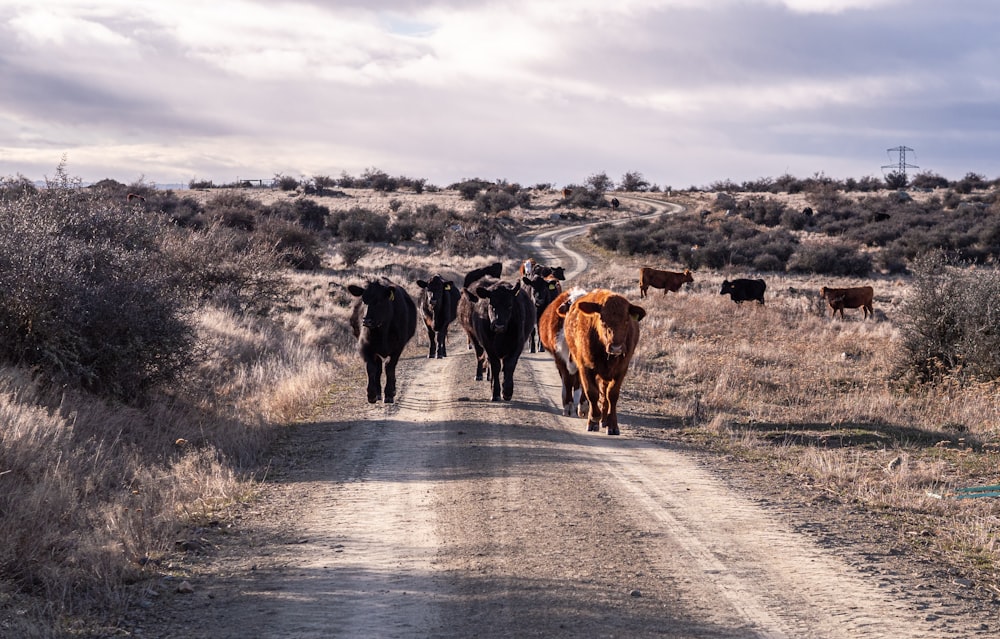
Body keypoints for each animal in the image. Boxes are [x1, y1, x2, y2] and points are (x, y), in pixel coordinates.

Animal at [560, 290, 644, 436]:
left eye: (626, 320)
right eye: (602, 319)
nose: (616, 348)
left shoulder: (621, 370)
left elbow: (612, 395)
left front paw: (613, 425)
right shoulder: (585, 368)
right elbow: (591, 393)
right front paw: (593, 419)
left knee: (604, 396)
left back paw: (605, 420)